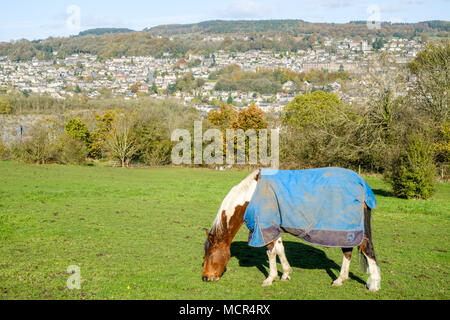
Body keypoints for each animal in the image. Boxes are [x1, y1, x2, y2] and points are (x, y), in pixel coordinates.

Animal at [202, 169, 382, 292]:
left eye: (209, 255)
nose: (205, 278)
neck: (253, 194)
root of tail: (361, 183)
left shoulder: (265, 227)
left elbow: (270, 252)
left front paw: (270, 278)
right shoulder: (274, 226)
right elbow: (280, 249)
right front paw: (286, 274)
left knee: (366, 249)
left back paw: (374, 284)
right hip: (346, 231)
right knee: (348, 251)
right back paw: (340, 279)